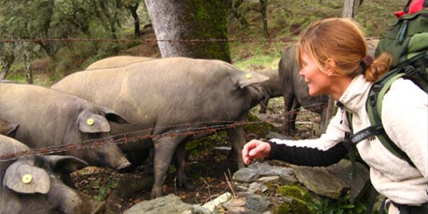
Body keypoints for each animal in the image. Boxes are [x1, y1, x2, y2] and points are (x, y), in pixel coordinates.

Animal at [51, 56, 270, 197]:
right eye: (241, 87)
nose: (262, 92)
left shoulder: (183, 131)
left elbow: (180, 159)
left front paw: (188, 186)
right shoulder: (166, 132)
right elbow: (162, 164)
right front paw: (157, 195)